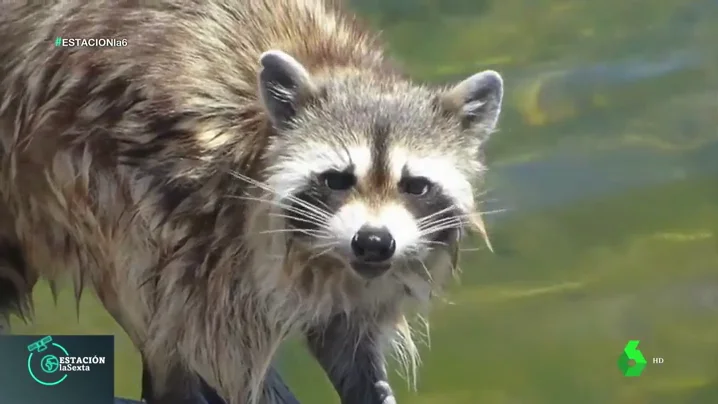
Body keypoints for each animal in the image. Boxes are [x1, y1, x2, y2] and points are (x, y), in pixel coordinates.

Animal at [0, 0, 504, 404]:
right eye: (336, 180)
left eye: (415, 185)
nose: (374, 242)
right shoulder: (178, 204)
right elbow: (209, 344)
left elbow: (342, 331)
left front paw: (366, 382)